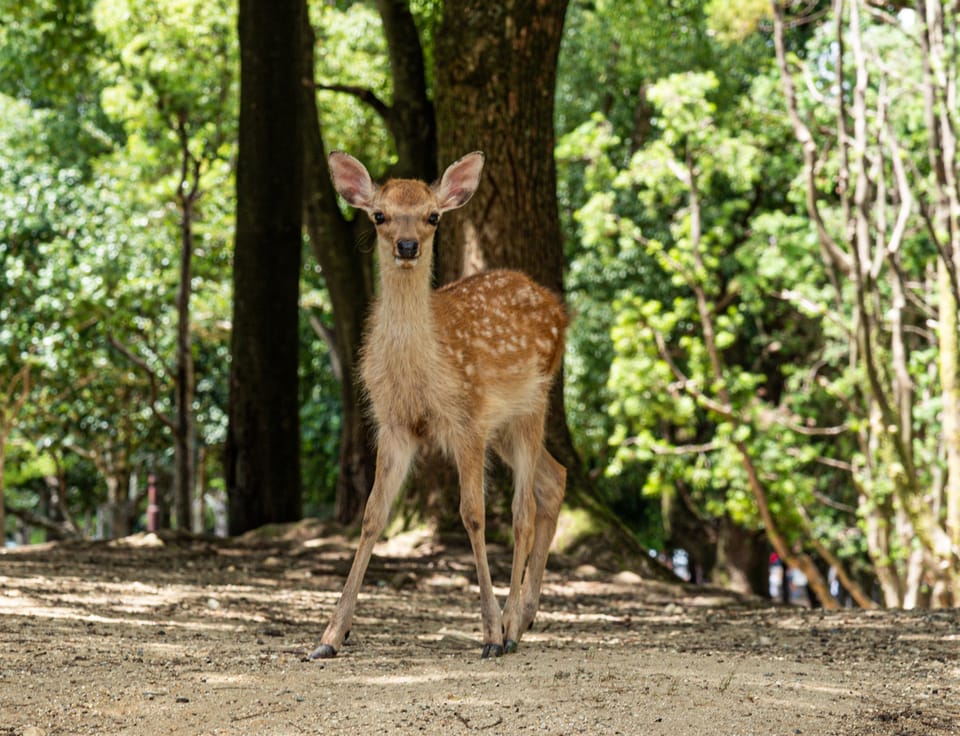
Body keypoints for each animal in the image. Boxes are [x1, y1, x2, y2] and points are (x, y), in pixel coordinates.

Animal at [309, 151, 568, 660]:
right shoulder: (393, 425)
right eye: (379, 214)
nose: (408, 245)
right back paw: (524, 619)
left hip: (533, 402)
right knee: (554, 479)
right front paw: (329, 636)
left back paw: (510, 627)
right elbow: (372, 516)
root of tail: (558, 308)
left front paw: (488, 635)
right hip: (504, 428)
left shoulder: (466, 419)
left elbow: (474, 515)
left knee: (523, 510)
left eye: (432, 216)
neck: (422, 372)